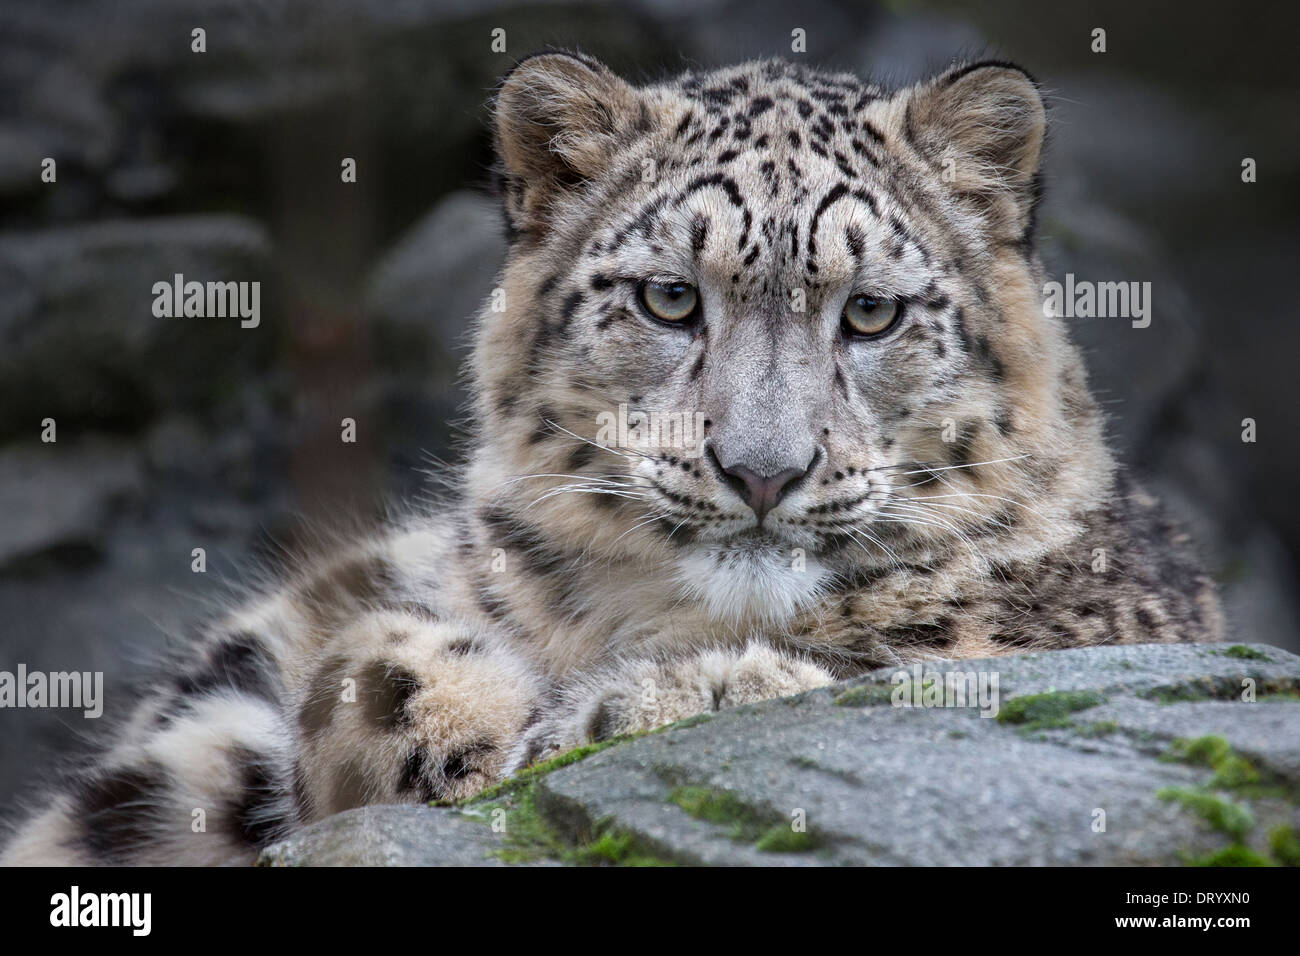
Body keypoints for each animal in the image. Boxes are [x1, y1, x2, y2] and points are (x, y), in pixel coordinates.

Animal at [1, 51, 1222, 865]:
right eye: (670, 297)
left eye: (870, 311)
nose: (763, 468)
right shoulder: (238, 681)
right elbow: (356, 663)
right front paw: (471, 711)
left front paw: (674, 695)